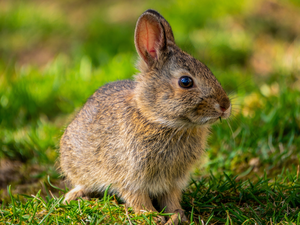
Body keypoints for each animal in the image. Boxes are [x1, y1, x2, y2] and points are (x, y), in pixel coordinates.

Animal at [59, 9, 232, 225]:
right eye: (185, 82)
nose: (225, 106)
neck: (159, 121)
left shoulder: (172, 181)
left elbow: (171, 198)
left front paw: (177, 216)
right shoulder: (130, 176)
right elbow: (137, 198)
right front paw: (151, 216)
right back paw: (73, 196)